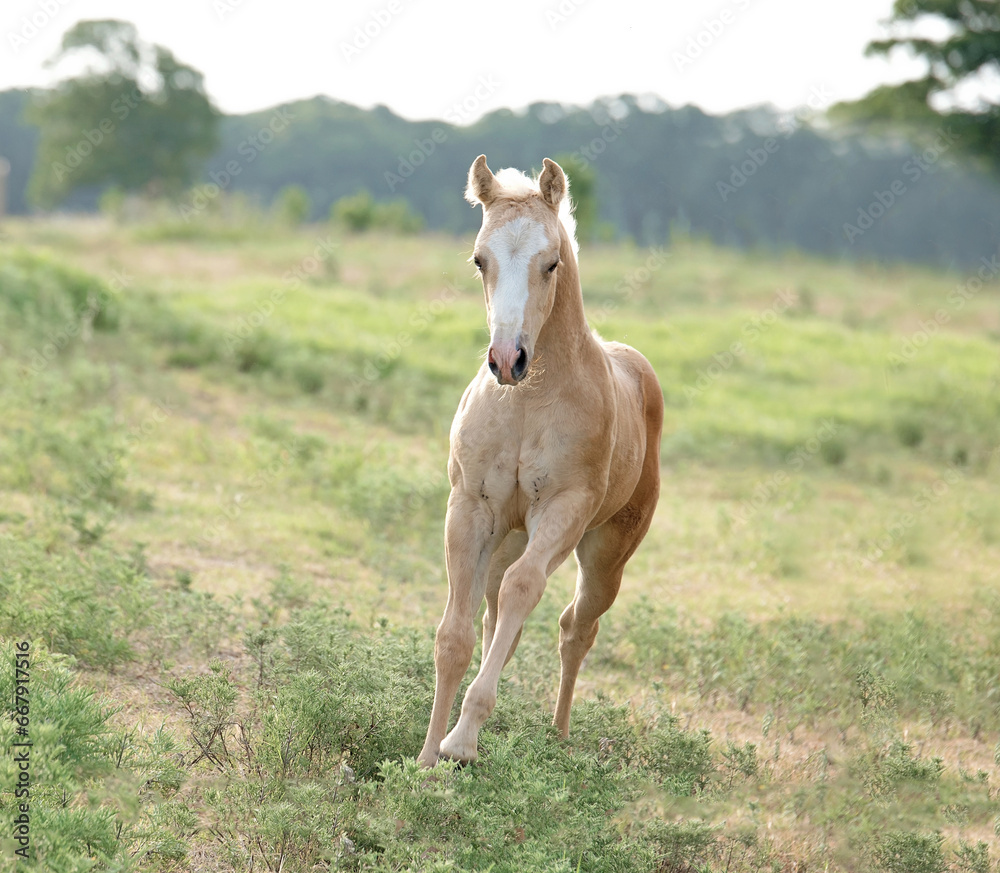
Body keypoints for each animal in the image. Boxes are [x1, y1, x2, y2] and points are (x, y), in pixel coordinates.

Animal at [416, 155, 664, 764]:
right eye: (479, 259)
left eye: (550, 263)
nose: (508, 360)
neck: (527, 405)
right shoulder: (470, 508)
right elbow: (454, 636)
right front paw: (427, 758)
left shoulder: (563, 510)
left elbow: (525, 590)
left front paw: (462, 741)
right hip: (507, 537)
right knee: (495, 616)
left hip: (605, 556)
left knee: (575, 628)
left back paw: (558, 736)